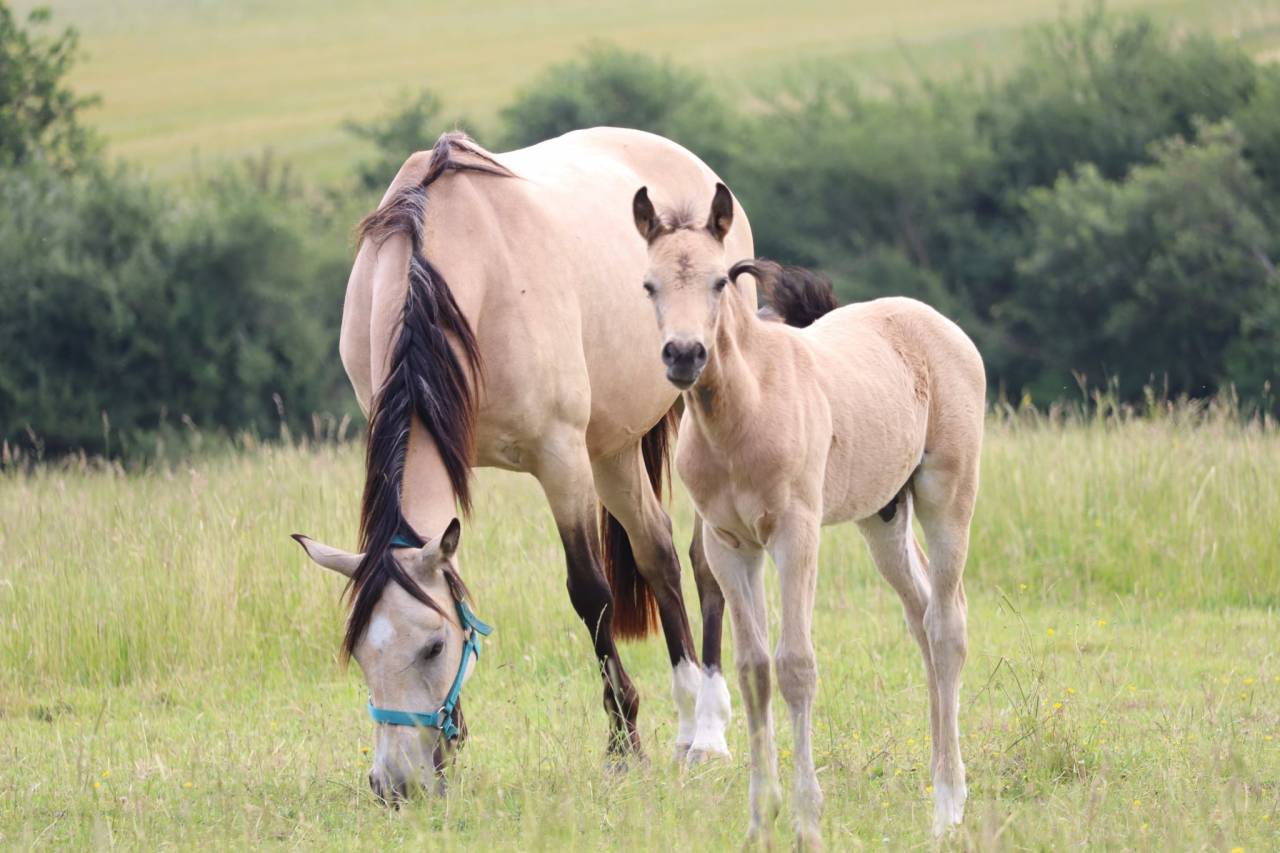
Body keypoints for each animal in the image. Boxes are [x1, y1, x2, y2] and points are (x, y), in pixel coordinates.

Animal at [290, 129, 756, 799]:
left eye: (433, 648)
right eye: (359, 653)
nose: (396, 785)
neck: (456, 269)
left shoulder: (560, 458)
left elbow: (590, 594)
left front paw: (623, 748)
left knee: (703, 561)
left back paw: (710, 736)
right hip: (613, 449)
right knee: (659, 554)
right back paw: (688, 726)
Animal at [632, 184, 986, 844]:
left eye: (719, 281)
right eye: (649, 284)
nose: (684, 355)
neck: (743, 411)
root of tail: (938, 324)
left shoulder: (795, 536)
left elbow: (796, 666)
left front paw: (806, 822)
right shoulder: (728, 545)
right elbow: (753, 671)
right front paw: (758, 822)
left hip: (947, 495)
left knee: (947, 625)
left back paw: (948, 809)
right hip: (884, 517)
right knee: (922, 615)